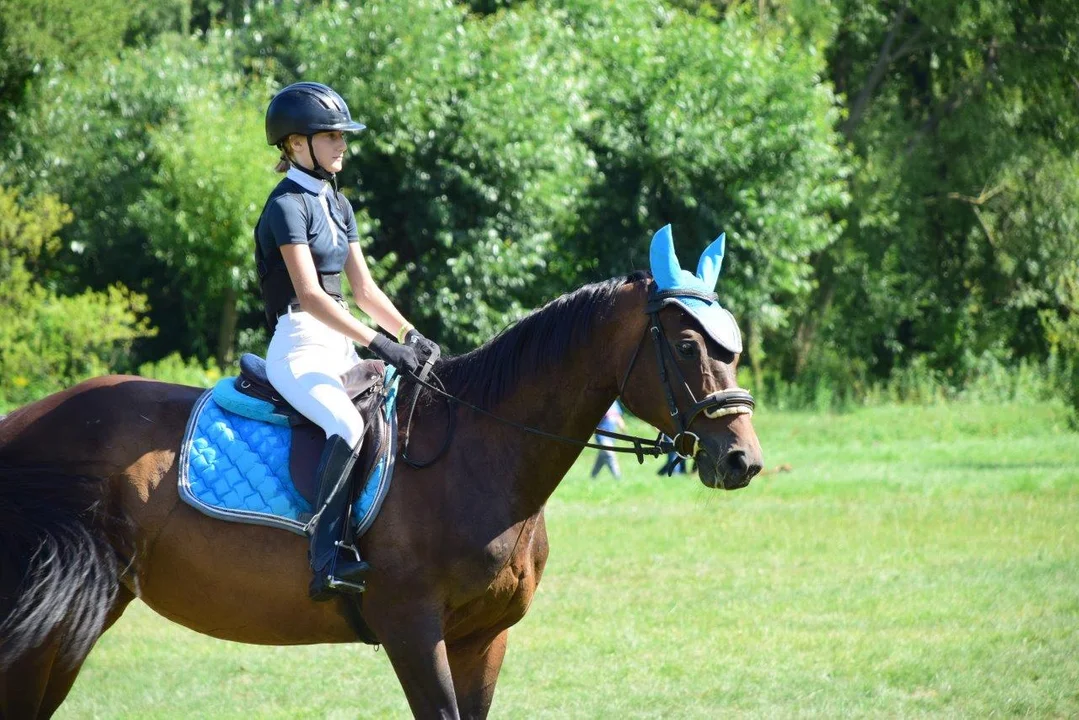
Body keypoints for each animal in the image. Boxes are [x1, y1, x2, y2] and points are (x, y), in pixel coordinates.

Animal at [0, 237, 763, 720]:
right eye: (688, 345)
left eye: (731, 348)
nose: (743, 460)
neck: (481, 454)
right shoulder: (412, 628)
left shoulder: (483, 637)